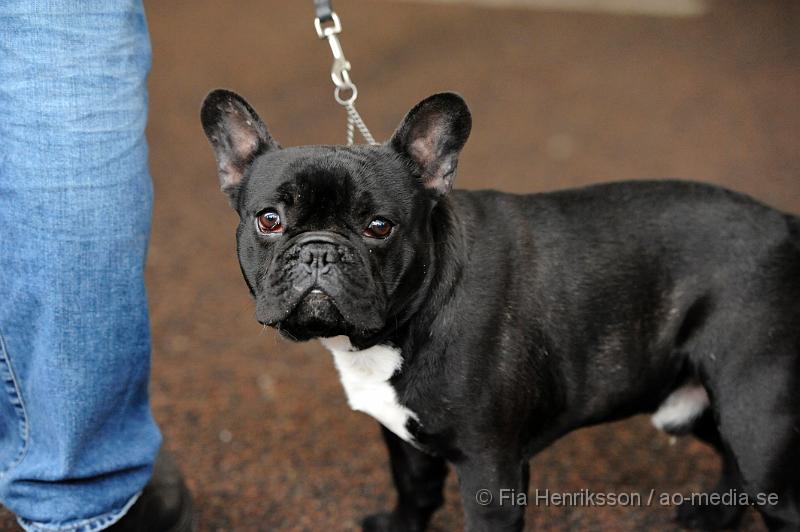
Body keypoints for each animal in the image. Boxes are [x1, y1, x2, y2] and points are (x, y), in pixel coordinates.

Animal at [202, 89, 800, 528]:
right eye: (269, 220)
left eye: (379, 227)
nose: (319, 249)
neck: (409, 322)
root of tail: (786, 227)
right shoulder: (405, 440)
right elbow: (413, 495)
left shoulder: (491, 474)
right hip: (694, 399)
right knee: (732, 461)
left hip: (755, 413)